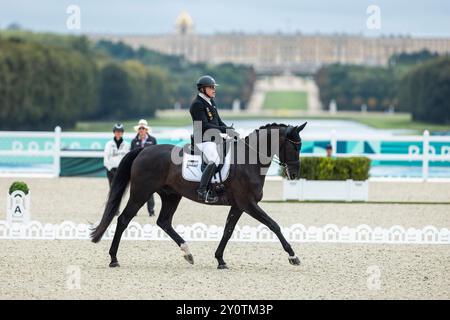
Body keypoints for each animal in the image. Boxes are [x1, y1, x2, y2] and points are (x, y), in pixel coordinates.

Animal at [91, 122, 310, 270]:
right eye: (294, 146)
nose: (294, 174)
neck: (249, 160)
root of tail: (143, 150)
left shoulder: (239, 205)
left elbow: (228, 230)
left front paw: (220, 259)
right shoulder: (248, 203)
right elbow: (273, 225)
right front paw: (293, 256)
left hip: (171, 195)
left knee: (164, 222)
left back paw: (188, 253)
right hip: (141, 193)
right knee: (123, 219)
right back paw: (113, 259)